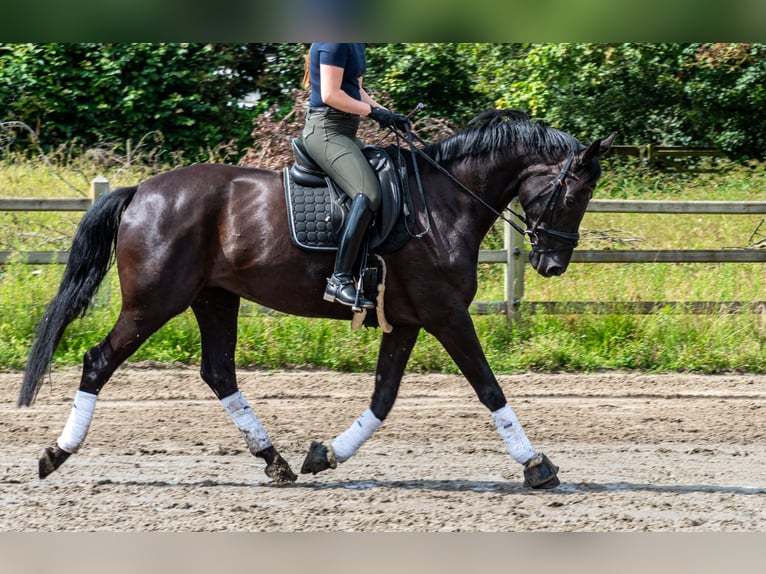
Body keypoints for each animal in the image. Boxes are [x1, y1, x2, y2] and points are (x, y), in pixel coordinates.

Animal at [18, 110, 616, 488]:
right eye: (576, 193)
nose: (553, 264)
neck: (444, 204)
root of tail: (141, 190)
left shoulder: (406, 320)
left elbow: (383, 397)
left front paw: (324, 454)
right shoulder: (446, 314)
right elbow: (489, 387)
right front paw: (537, 465)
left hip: (214, 298)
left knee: (219, 373)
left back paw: (276, 461)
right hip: (153, 302)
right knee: (99, 362)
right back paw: (55, 455)